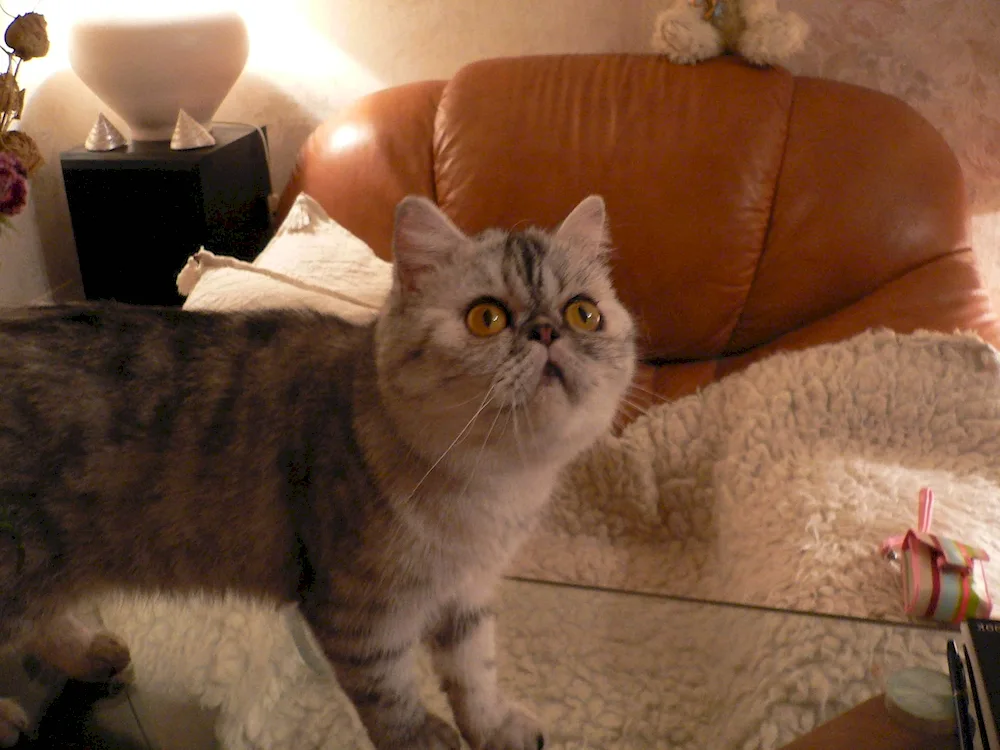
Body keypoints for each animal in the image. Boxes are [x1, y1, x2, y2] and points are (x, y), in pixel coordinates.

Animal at [0, 195, 636, 750]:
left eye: (584, 312)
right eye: (486, 318)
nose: (547, 331)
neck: (494, 492)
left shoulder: (468, 595)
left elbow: (475, 675)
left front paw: (495, 727)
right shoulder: (359, 616)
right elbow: (393, 699)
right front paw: (425, 738)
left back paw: (91, 654)